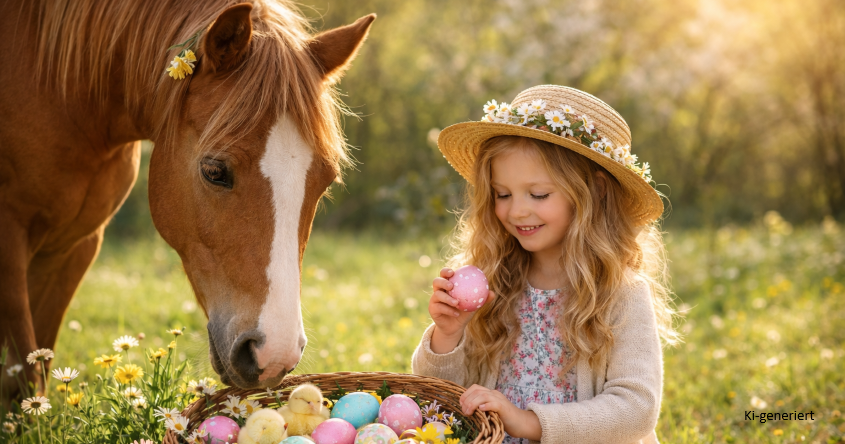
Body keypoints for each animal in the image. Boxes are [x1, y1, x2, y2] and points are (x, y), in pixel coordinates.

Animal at [0, 0, 374, 397]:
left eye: (326, 182)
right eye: (214, 171)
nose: (273, 354)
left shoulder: (74, 247)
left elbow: (40, 363)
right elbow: (22, 379)